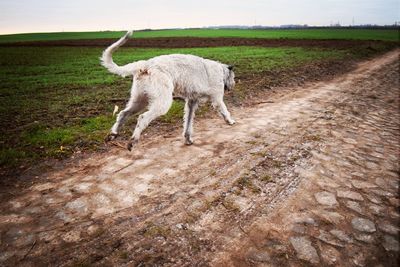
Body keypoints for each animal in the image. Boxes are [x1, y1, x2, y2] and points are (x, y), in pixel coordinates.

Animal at [101, 30, 236, 151]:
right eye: (233, 77)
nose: (233, 85)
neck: (221, 71)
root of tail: (146, 64)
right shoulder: (217, 99)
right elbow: (225, 110)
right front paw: (230, 121)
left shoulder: (191, 103)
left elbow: (188, 121)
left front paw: (188, 138)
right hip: (162, 102)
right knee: (142, 118)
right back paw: (133, 141)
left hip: (140, 100)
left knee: (123, 113)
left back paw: (113, 134)